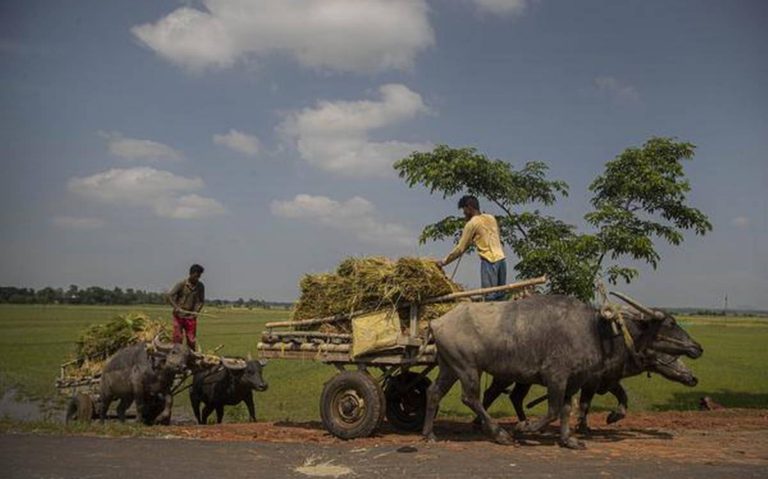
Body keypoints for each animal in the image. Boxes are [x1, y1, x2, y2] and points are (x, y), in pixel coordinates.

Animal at [424, 292, 704, 450]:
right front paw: (526, 428)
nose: (697, 347)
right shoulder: (556, 377)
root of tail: (438, 321)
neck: (596, 331)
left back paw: (430, 434)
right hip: (468, 368)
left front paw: (569, 440)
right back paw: (500, 433)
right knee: (471, 397)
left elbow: (567, 408)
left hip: (450, 367)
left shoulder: (575, 381)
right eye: (670, 323)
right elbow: (553, 409)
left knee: (435, 392)